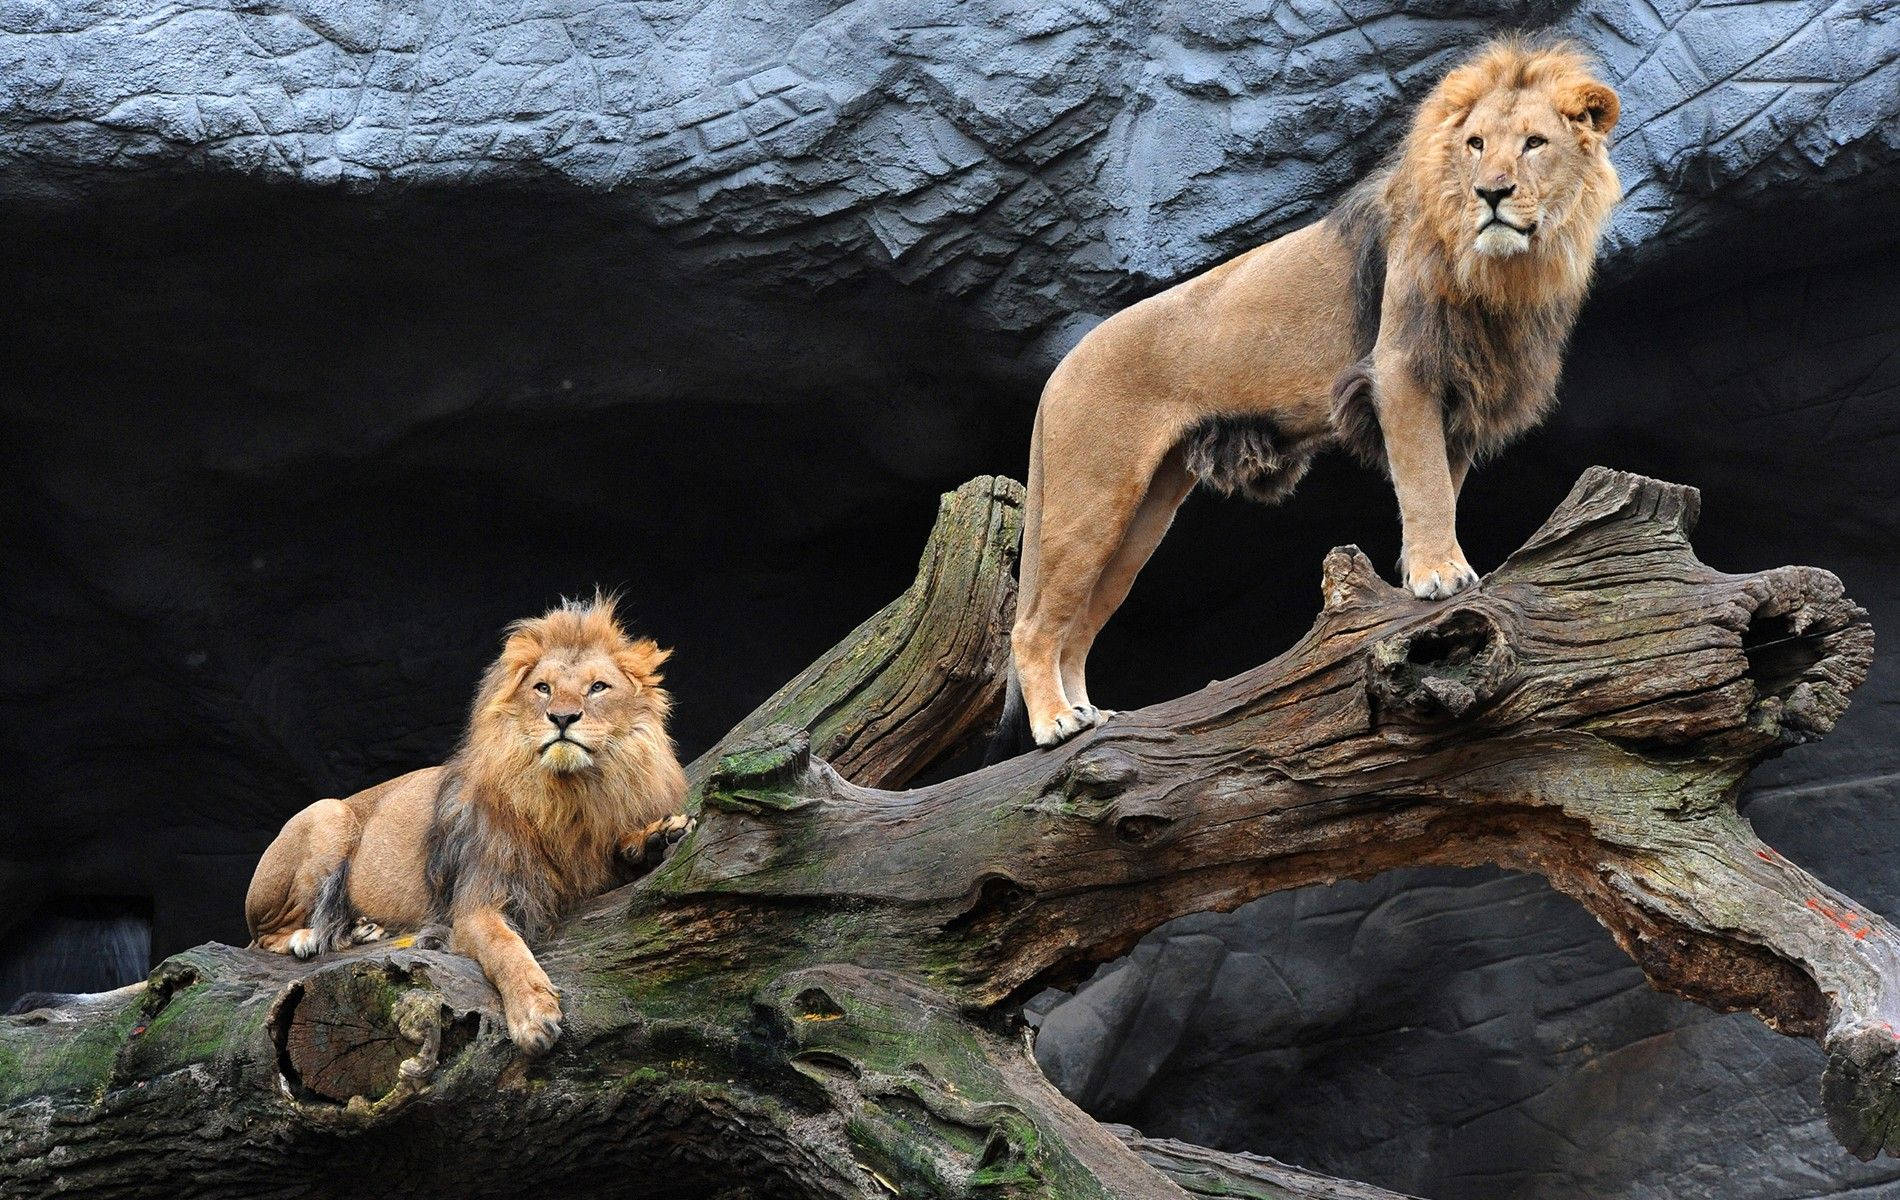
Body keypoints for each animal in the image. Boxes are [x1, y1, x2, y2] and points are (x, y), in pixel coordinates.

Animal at [245, 595, 690, 1053]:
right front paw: (533, 1013)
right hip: (328, 815)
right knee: (264, 935)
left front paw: (657, 836)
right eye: (543, 688)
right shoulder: (476, 901)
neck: (567, 797)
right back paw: (308, 937)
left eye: (598, 687)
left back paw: (363, 929)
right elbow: (505, 947)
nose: (563, 717)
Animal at [997, 37, 1621, 751]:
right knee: (1035, 625)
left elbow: (1443, 481)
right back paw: (1054, 724)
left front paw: (1426, 571)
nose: (1492, 193)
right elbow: (1426, 483)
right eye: (1476, 144)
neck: (1501, 268)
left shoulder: (1458, 395)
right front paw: (1439, 577)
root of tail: (1058, 371)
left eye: (1535, 143)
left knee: (1077, 626)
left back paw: (1087, 715)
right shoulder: (1400, 369)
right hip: (1092, 498)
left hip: (1142, 516)